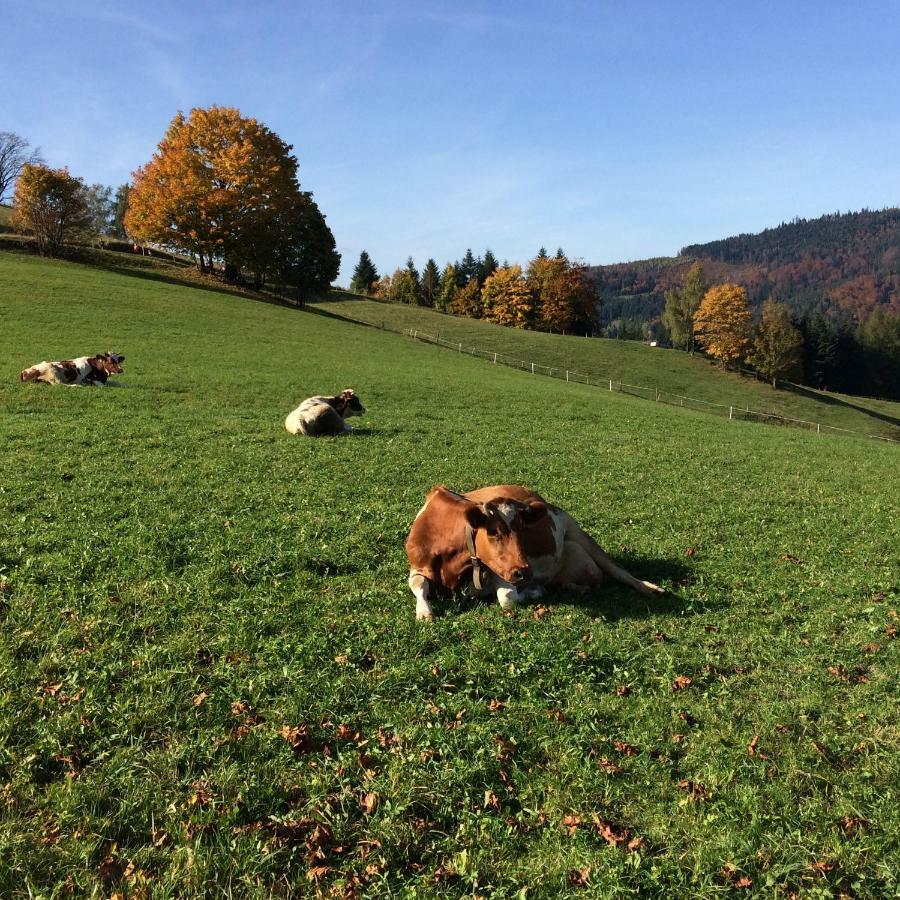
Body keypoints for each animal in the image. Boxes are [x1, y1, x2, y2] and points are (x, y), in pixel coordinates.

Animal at [404, 486, 664, 620]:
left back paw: (650, 588)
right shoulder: (417, 567)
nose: (524, 573)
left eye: (523, 531)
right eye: (494, 532)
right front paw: (424, 611)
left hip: (579, 533)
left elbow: (507, 599)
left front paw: (534, 592)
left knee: (619, 572)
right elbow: (419, 585)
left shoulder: (501, 572)